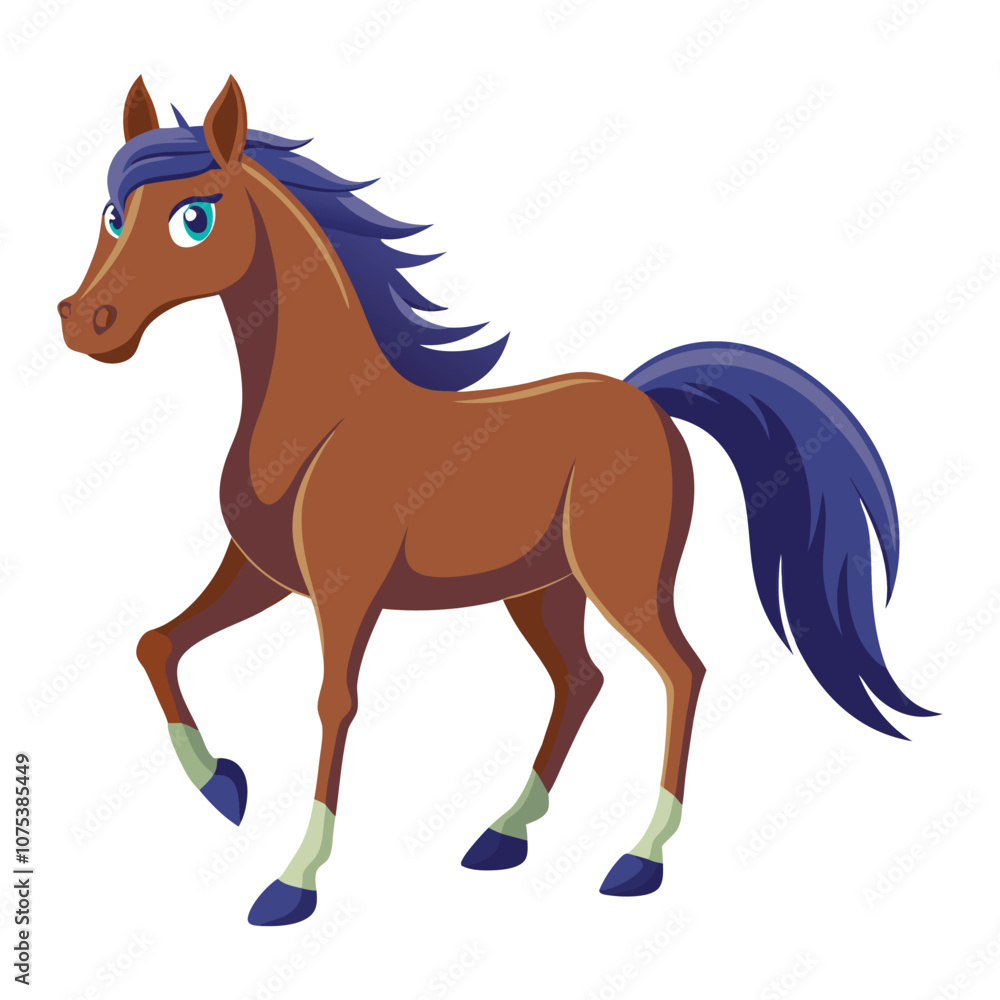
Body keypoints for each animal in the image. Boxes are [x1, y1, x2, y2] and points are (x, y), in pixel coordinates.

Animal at [59, 76, 934, 926]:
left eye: (195, 219)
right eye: (112, 213)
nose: (85, 325)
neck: (323, 422)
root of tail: (647, 401)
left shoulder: (345, 592)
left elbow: (332, 703)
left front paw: (293, 881)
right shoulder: (261, 574)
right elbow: (156, 645)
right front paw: (224, 787)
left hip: (620, 580)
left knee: (681, 672)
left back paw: (639, 860)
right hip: (544, 591)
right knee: (581, 681)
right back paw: (505, 834)